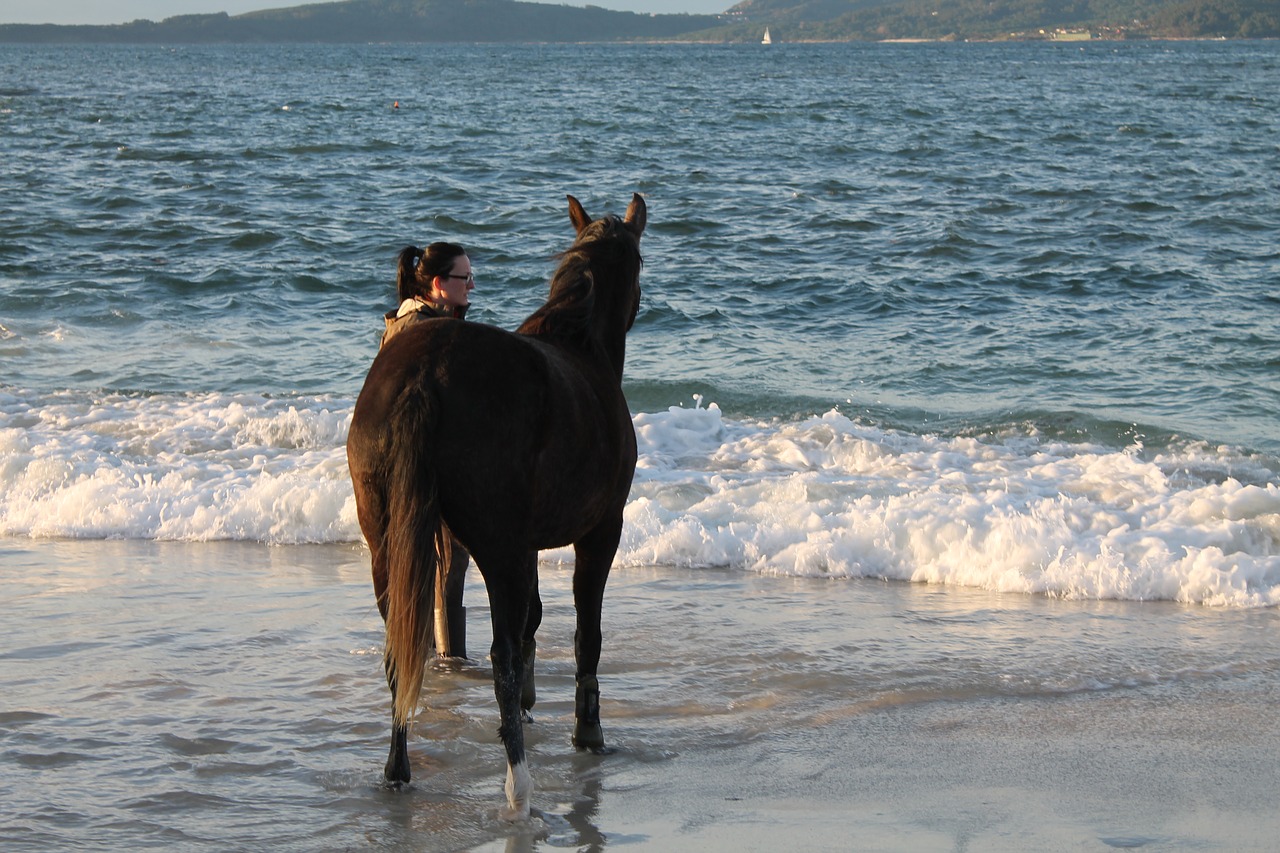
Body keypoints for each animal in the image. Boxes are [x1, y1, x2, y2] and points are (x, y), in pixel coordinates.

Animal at [345, 190, 645, 819]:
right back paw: (520, 786)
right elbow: (583, 634)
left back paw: (398, 771)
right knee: (500, 655)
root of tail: (425, 375)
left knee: (401, 651)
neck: (579, 342)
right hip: (496, 546)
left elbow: (534, 616)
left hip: (387, 544)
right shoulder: (600, 532)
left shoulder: (528, 547)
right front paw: (588, 731)